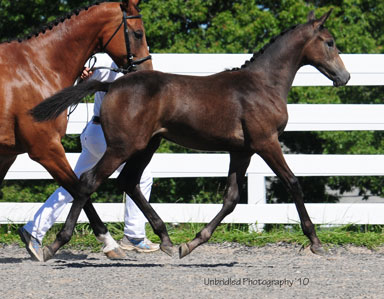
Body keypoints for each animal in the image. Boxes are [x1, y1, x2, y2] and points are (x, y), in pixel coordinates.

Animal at [0, 0, 153, 258]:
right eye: (138, 33)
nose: (148, 72)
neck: (36, 68)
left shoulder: (8, 154)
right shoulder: (46, 149)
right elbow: (80, 188)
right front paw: (109, 243)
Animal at [33, 10, 352, 262]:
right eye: (330, 42)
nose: (345, 77)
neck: (263, 85)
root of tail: (110, 85)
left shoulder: (242, 151)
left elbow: (231, 199)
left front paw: (191, 243)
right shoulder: (266, 142)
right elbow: (293, 183)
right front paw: (316, 243)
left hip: (146, 145)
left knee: (128, 181)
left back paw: (165, 240)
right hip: (123, 146)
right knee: (89, 182)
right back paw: (55, 244)